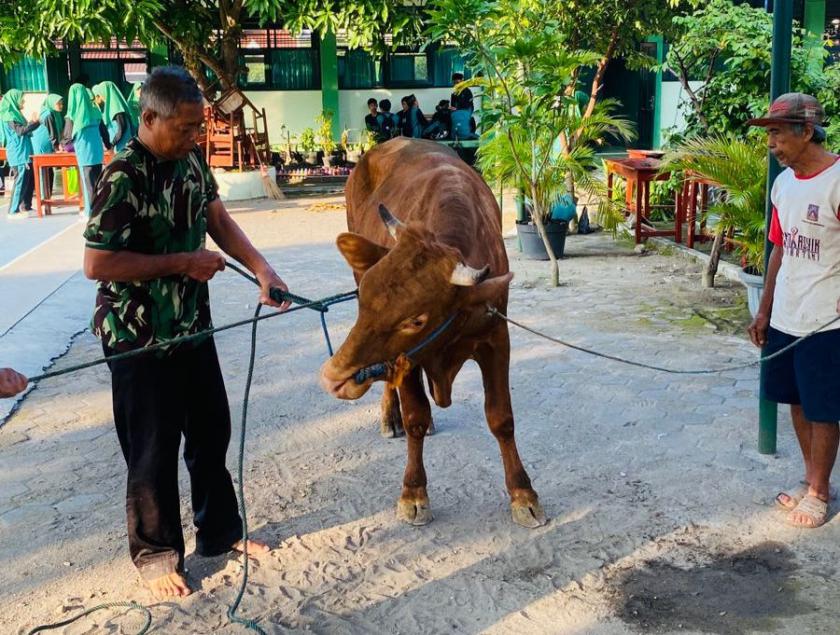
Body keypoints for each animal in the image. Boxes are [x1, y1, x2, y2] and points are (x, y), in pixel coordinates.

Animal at [320, 140, 544, 532]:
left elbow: (501, 417)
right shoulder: (407, 359)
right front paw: (413, 493)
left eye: (416, 320)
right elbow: (415, 418)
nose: (333, 377)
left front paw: (523, 494)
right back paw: (389, 416)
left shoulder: (496, 336)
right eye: (364, 296)